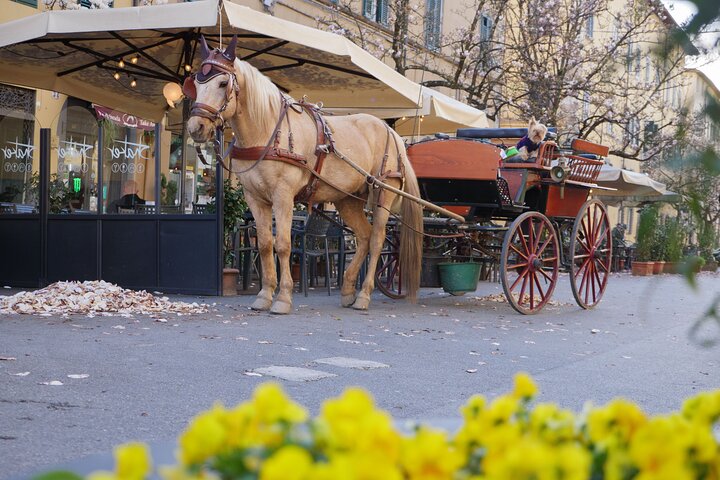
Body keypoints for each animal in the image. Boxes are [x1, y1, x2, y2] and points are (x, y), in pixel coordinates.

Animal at [185, 35, 423, 314]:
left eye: (223, 83)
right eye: (196, 83)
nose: (196, 127)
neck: (267, 130)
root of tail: (392, 132)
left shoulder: (283, 196)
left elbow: (283, 245)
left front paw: (283, 298)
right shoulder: (255, 199)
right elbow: (264, 245)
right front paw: (264, 295)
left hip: (384, 191)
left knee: (376, 240)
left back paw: (363, 295)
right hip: (348, 199)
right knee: (364, 237)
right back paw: (347, 290)